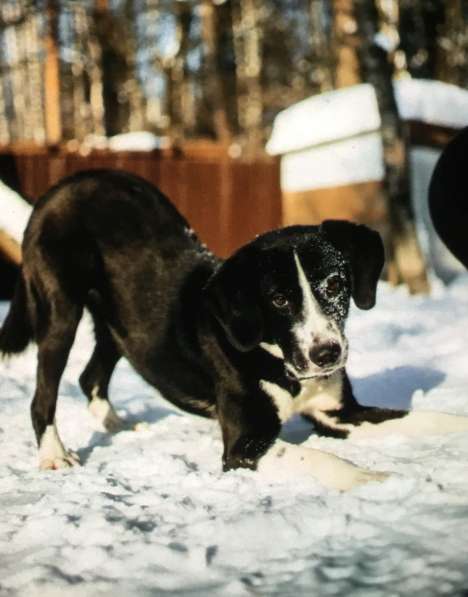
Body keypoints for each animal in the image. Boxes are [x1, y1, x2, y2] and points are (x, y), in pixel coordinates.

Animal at [2, 169, 468, 488]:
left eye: (336, 284)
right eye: (278, 299)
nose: (327, 354)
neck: (279, 361)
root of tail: (60, 186)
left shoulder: (339, 413)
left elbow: (423, 416)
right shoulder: (243, 445)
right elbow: (319, 459)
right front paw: (371, 479)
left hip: (122, 325)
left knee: (91, 375)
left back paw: (118, 425)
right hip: (60, 312)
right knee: (44, 394)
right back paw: (55, 455)